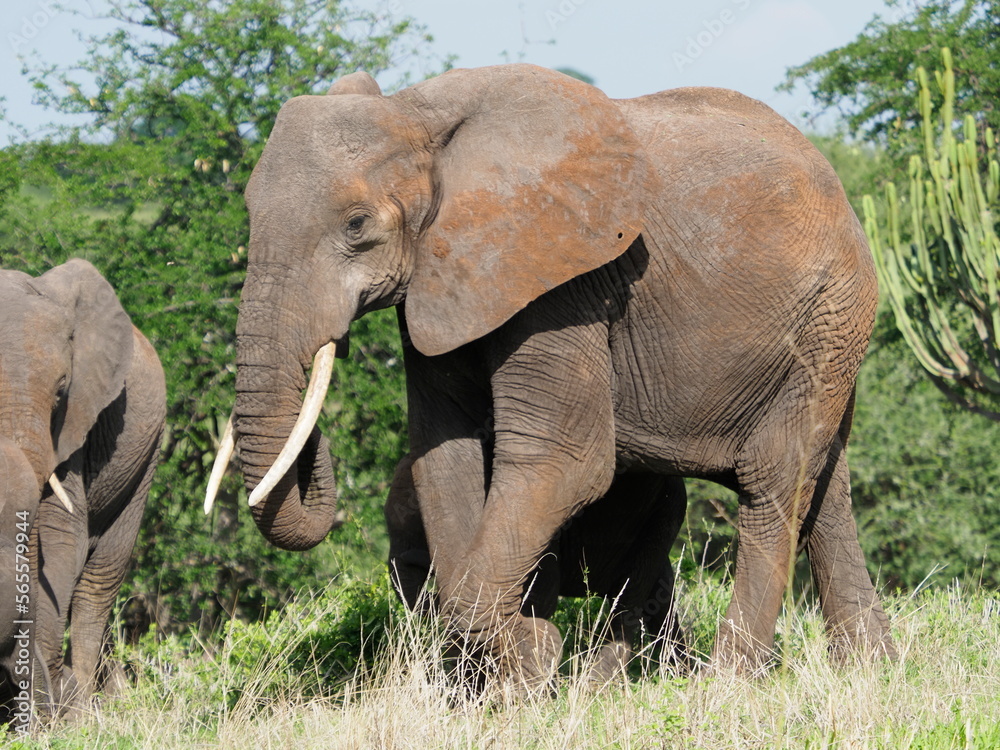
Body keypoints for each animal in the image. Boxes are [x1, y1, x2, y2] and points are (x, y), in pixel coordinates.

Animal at [0, 259, 166, 722]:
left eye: (61, 389)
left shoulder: (74, 430)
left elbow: (62, 538)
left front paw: (51, 712)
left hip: (147, 456)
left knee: (98, 583)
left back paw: (83, 712)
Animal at [385, 453, 690, 681]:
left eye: (422, 525)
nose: (418, 557)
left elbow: (540, 595)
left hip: (667, 511)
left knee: (633, 591)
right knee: (659, 593)